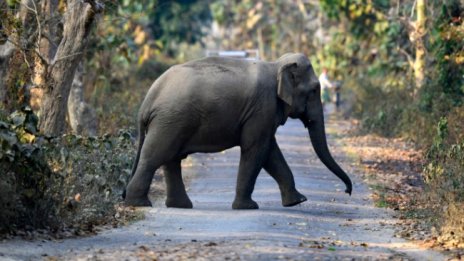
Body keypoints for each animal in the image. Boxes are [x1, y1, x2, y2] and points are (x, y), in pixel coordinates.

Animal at [123, 51, 352, 208]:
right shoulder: (262, 107)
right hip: (171, 120)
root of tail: (148, 99)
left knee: (171, 160)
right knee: (156, 156)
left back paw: (180, 205)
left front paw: (297, 201)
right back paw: (139, 203)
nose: (347, 192)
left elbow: (270, 152)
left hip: (171, 121)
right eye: (314, 90)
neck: (276, 65)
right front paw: (248, 207)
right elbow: (256, 149)